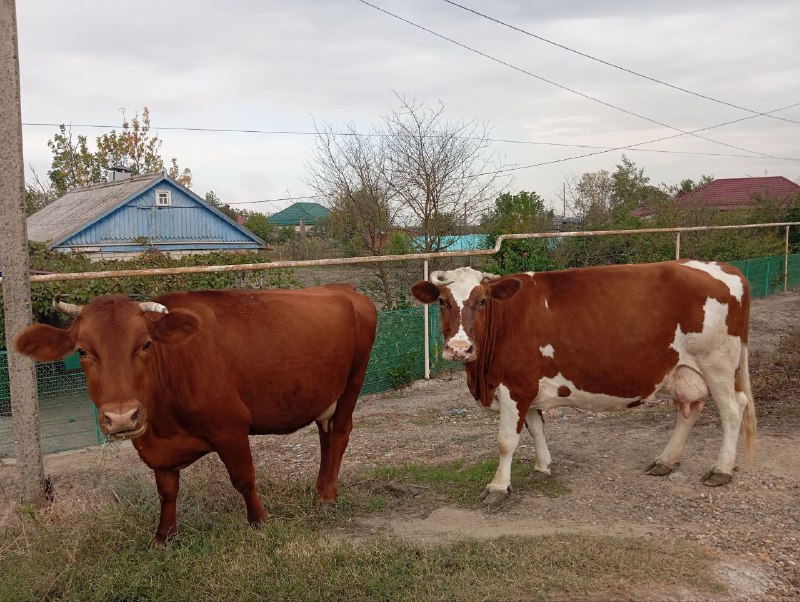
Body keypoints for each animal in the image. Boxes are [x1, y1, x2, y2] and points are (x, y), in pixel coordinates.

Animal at [16, 284, 378, 540]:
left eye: (146, 344)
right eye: (82, 351)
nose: (121, 417)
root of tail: (345, 289)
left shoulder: (231, 427)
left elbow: (244, 478)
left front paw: (259, 522)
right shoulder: (158, 448)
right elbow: (166, 492)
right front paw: (164, 537)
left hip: (353, 381)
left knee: (339, 434)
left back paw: (326, 496)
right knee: (326, 436)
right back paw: (320, 490)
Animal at [412, 260, 756, 500]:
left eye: (482, 301)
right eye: (442, 302)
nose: (459, 348)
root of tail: (726, 268)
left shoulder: (515, 386)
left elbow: (506, 440)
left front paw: (498, 487)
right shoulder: (529, 386)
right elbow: (536, 428)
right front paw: (543, 467)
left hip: (718, 363)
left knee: (732, 409)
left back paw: (722, 469)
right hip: (686, 369)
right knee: (690, 409)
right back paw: (665, 461)